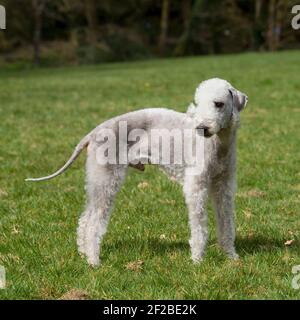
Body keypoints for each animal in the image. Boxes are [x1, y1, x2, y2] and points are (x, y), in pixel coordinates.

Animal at [25, 78, 247, 268]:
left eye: (218, 104)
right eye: (197, 104)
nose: (201, 128)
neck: (218, 144)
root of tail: (94, 132)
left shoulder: (224, 185)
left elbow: (226, 222)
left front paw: (231, 256)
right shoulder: (196, 186)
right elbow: (199, 227)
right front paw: (197, 260)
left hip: (96, 181)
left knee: (85, 219)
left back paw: (83, 254)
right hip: (107, 179)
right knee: (93, 223)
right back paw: (94, 262)